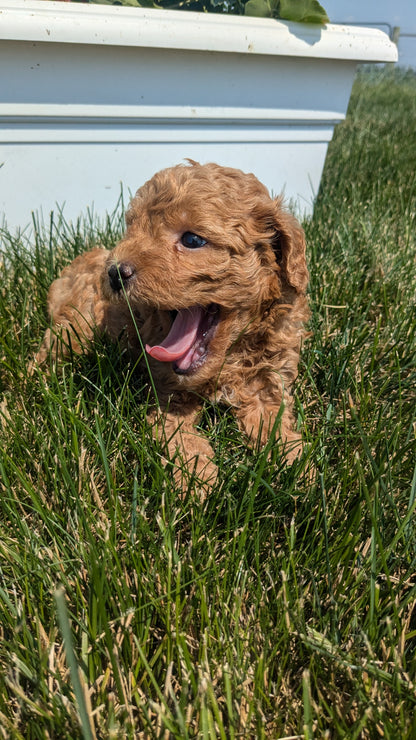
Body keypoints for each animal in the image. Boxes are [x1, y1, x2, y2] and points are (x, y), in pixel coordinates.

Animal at [35, 162, 308, 486]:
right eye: (133, 229)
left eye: (192, 241)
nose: (114, 272)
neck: (228, 360)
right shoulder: (167, 394)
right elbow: (181, 436)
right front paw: (198, 479)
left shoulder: (269, 380)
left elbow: (274, 421)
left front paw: (298, 464)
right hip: (78, 325)